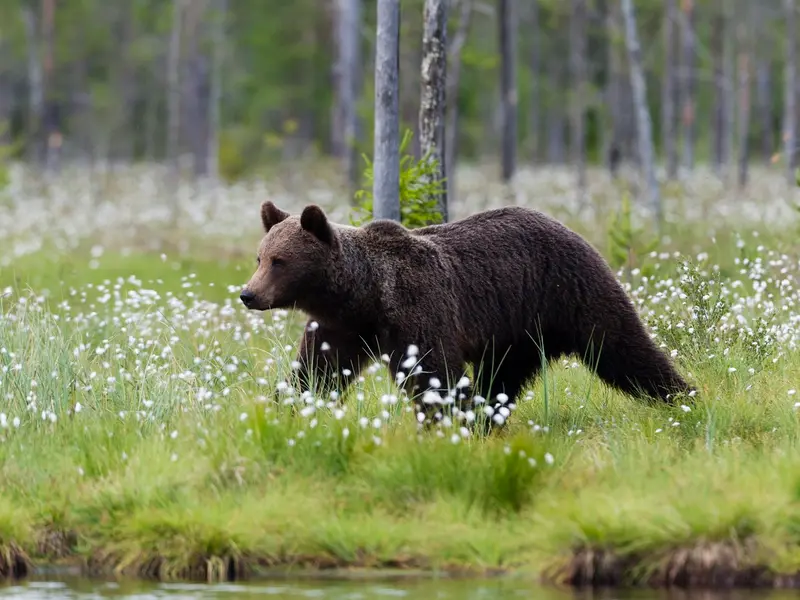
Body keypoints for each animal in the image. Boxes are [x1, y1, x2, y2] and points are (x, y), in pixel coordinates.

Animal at [239, 200, 692, 426]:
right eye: (260, 257)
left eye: (279, 261)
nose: (248, 293)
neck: (364, 295)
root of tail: (570, 229)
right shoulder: (341, 328)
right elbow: (318, 371)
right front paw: (286, 410)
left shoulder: (417, 309)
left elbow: (432, 373)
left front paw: (452, 420)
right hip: (517, 330)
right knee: (503, 375)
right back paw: (490, 415)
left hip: (569, 293)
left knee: (621, 345)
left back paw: (681, 395)